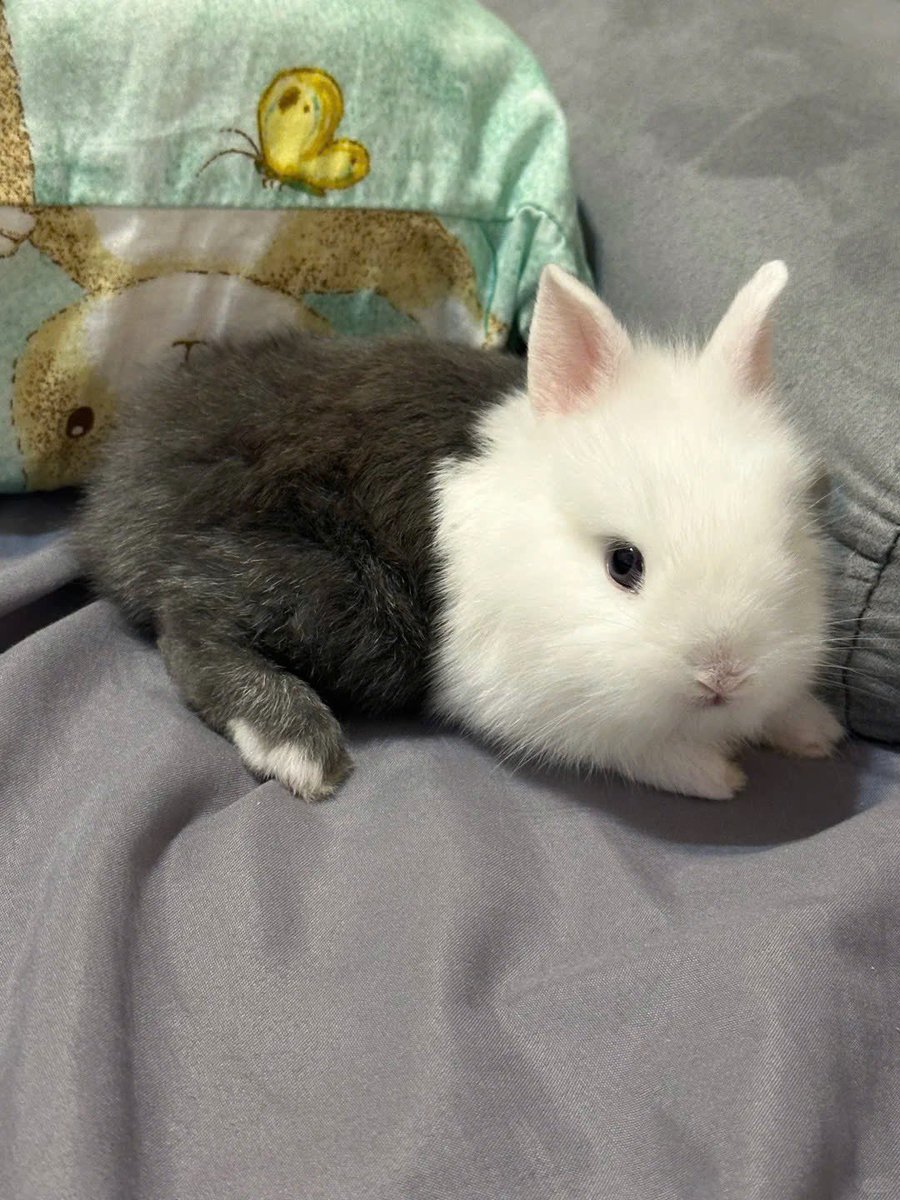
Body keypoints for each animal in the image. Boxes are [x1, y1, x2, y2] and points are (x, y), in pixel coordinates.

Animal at [74, 260, 844, 802]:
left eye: (787, 545)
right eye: (624, 564)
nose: (724, 674)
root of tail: (124, 474)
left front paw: (813, 729)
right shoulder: (523, 695)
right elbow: (628, 748)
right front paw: (714, 774)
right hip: (337, 598)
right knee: (192, 620)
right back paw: (299, 747)